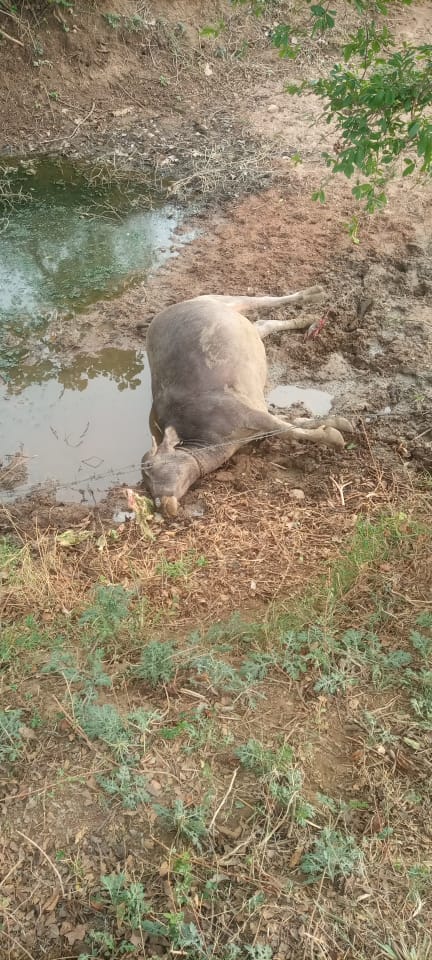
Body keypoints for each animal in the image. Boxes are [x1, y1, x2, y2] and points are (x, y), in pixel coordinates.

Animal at [140, 288, 352, 516]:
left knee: (264, 301)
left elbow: (290, 430)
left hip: (223, 299)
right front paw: (337, 422)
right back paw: (307, 318)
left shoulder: (248, 414)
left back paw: (314, 294)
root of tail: (167, 310)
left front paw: (335, 435)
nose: (161, 505)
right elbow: (295, 421)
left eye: (150, 467)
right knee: (263, 323)